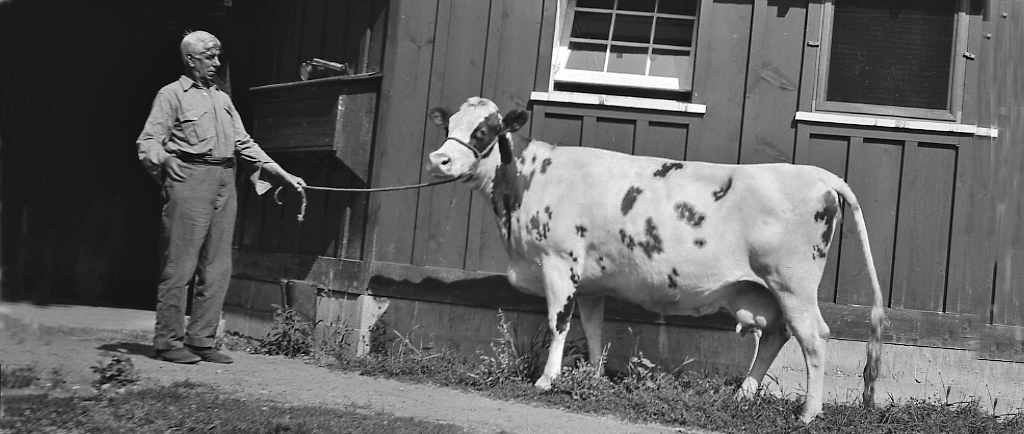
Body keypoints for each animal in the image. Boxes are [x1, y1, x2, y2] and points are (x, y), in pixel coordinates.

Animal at [419, 96, 884, 421]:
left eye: (484, 130)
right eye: (450, 125)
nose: (439, 158)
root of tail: (817, 174)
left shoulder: (558, 262)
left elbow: (558, 324)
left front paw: (547, 380)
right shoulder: (590, 281)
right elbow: (592, 328)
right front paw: (593, 375)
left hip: (794, 284)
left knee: (814, 338)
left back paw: (808, 413)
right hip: (764, 289)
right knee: (775, 334)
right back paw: (744, 393)